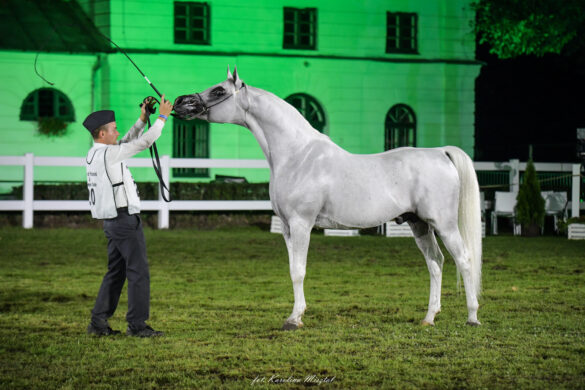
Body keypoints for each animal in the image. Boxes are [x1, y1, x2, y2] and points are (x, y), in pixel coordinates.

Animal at [175, 67, 484, 330]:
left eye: (218, 91)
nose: (180, 102)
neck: (298, 155)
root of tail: (440, 152)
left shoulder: (302, 224)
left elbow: (299, 271)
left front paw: (294, 319)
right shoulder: (286, 228)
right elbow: (292, 269)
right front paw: (296, 314)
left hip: (444, 224)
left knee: (464, 259)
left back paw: (472, 317)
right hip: (418, 224)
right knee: (435, 262)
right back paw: (429, 318)